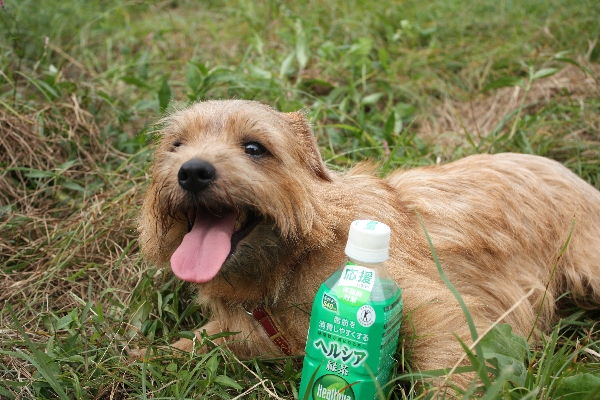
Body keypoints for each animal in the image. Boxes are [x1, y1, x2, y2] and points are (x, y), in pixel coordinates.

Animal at [138, 99, 600, 389]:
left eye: (254, 147)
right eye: (176, 145)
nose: (192, 171)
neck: (293, 261)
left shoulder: (442, 309)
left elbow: (448, 363)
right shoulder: (247, 334)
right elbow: (191, 343)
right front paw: (143, 354)